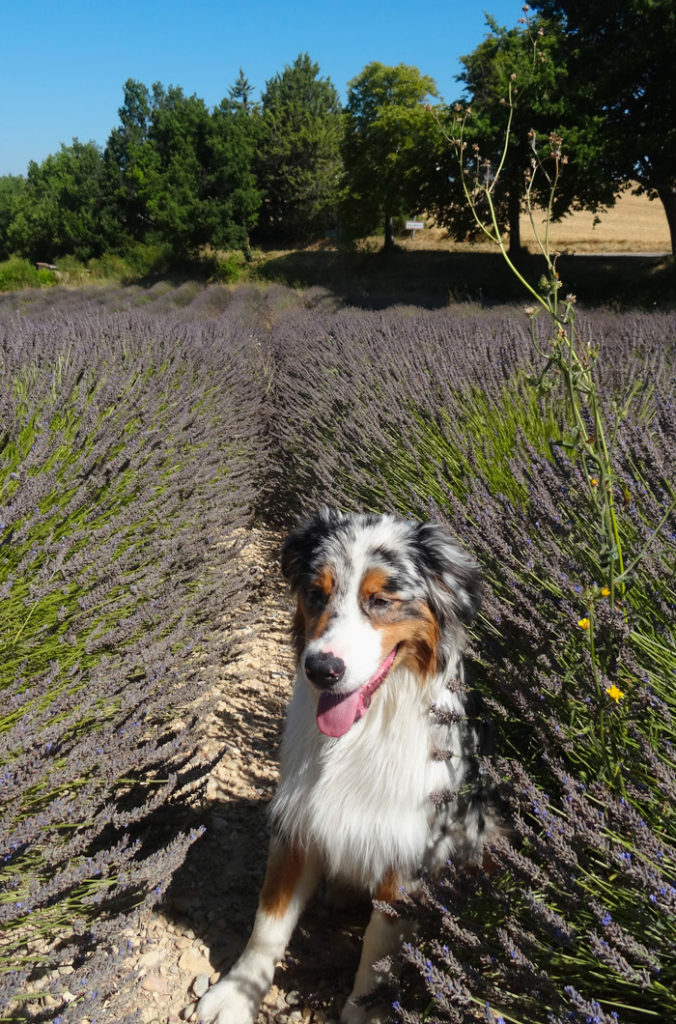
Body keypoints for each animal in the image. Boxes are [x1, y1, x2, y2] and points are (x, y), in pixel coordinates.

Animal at [195, 509, 495, 1024]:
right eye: (316, 593)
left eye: (380, 600)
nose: (321, 669)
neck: (360, 731)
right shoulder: (297, 821)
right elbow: (267, 923)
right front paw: (236, 994)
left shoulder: (406, 856)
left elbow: (378, 949)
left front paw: (365, 1008)